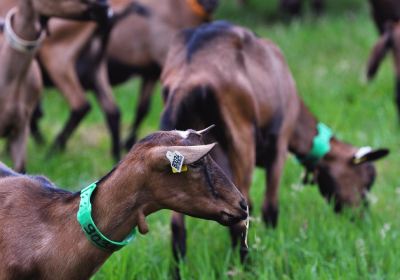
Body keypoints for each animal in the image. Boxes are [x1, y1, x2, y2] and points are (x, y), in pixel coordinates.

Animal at [161, 21, 390, 262]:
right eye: (367, 178)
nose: (362, 218)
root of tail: (188, 77)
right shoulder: (279, 145)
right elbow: (269, 208)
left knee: (177, 223)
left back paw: (180, 266)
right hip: (241, 139)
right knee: (242, 212)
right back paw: (247, 263)